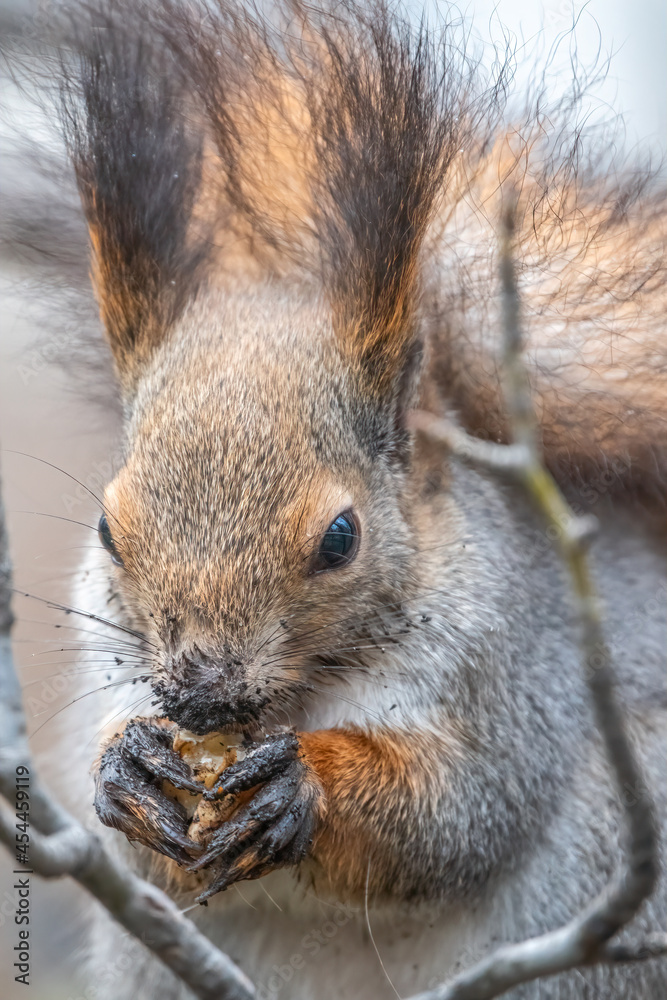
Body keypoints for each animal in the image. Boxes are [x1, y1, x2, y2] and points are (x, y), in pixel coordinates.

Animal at [17, 0, 666, 997]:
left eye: (340, 538)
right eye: (107, 528)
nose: (199, 688)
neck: (306, 695)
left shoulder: (522, 675)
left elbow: (459, 810)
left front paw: (305, 789)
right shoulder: (111, 670)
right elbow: (132, 846)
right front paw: (125, 769)